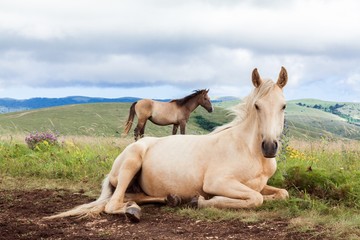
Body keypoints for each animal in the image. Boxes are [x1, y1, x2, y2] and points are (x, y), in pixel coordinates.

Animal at [45, 66, 290, 222]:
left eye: (283, 106)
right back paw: (134, 211)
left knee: (130, 197)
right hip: (131, 163)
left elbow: (281, 193)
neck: (248, 150)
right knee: (112, 204)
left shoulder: (260, 184)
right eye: (257, 106)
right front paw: (201, 201)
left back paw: (169, 199)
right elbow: (256, 198)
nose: (270, 147)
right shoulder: (218, 182)